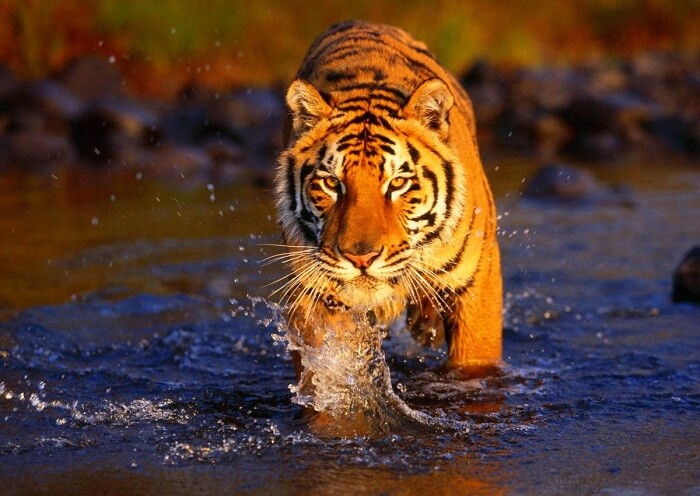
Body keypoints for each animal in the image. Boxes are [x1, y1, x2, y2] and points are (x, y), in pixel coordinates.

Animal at [273, 20, 502, 384]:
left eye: (397, 183)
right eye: (332, 183)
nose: (360, 258)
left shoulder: (477, 282)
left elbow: (474, 362)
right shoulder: (314, 293)